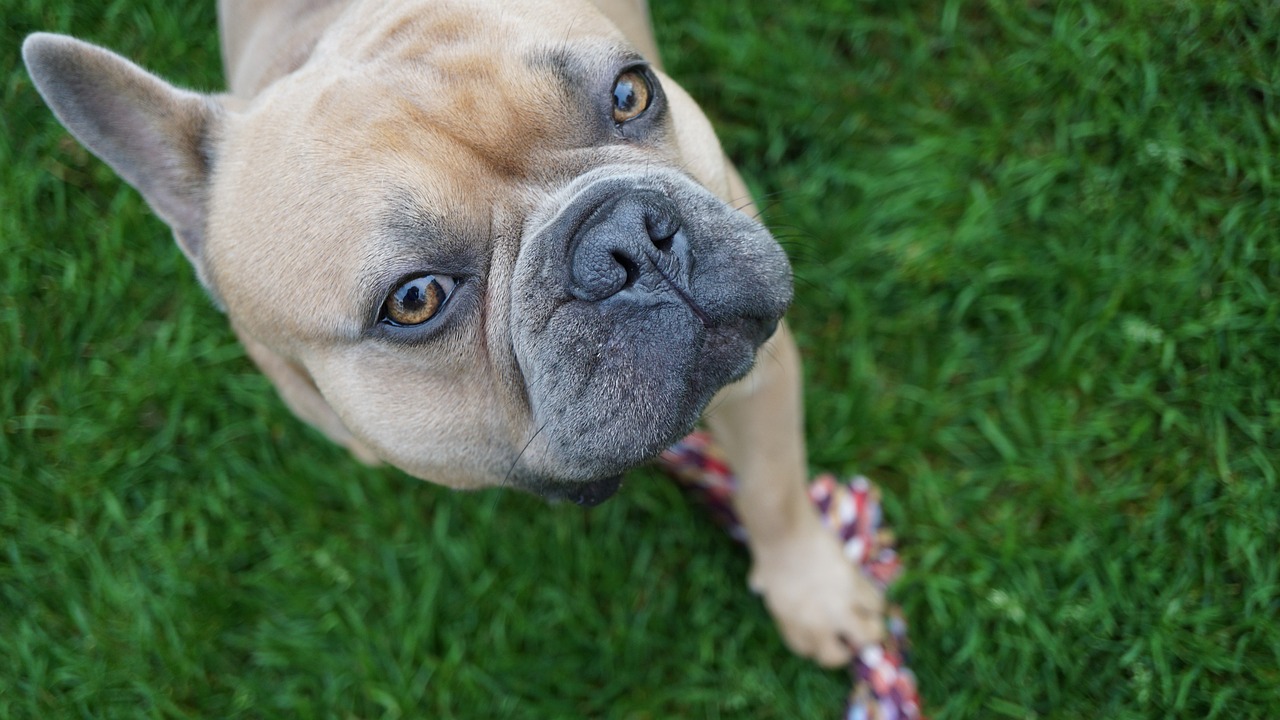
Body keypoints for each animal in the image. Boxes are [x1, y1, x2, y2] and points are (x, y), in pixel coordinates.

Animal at [22, 0, 880, 666]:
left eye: (631, 93)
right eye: (414, 300)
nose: (624, 240)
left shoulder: (762, 368)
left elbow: (772, 487)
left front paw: (816, 595)